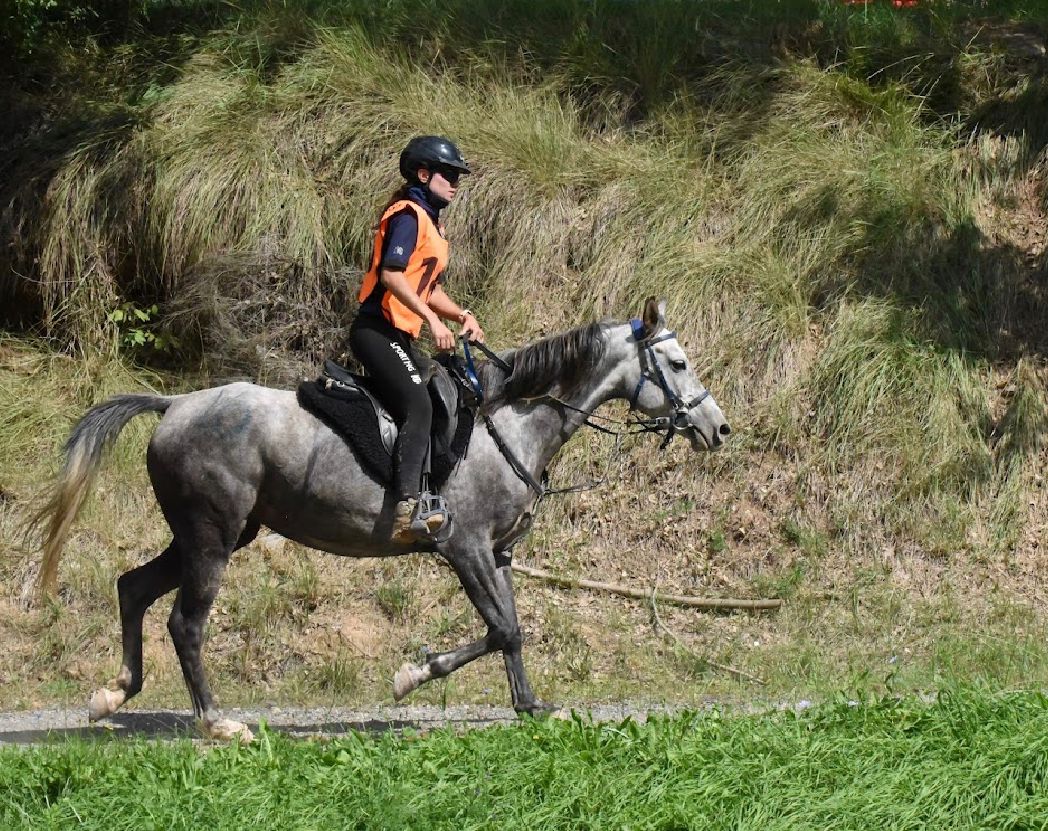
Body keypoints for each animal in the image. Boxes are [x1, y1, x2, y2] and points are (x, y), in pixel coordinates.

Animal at [36, 297, 733, 737]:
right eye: (676, 364)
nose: (718, 427)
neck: (511, 422)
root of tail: (175, 403)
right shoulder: (465, 548)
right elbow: (502, 630)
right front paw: (412, 677)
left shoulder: (498, 553)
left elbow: (509, 631)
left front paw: (529, 706)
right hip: (213, 537)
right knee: (185, 623)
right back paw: (217, 721)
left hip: (206, 534)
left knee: (133, 588)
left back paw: (112, 693)